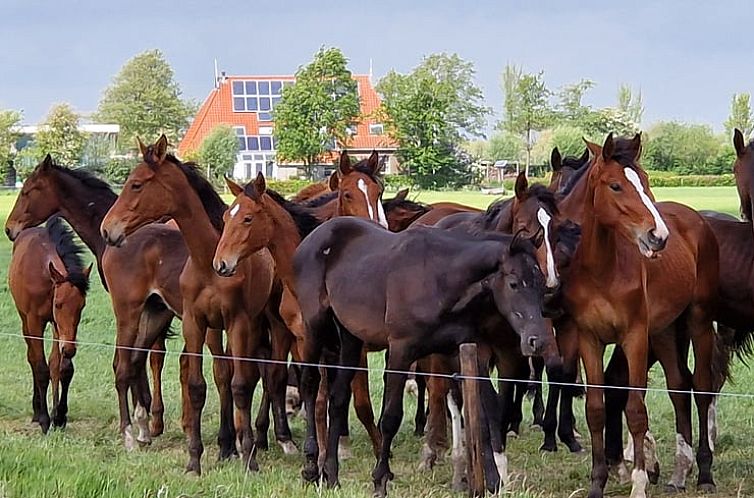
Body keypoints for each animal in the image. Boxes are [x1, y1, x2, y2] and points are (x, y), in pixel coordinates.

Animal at [9, 216, 90, 434]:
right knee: (32, 358)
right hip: (25, 322)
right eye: (58, 304)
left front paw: (59, 416)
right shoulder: (35, 322)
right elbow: (41, 368)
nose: (70, 349)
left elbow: (60, 367)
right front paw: (46, 419)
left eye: (82, 305)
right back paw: (37, 411)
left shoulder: (58, 326)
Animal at [98, 135, 278, 474]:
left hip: (156, 316)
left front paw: (247, 456)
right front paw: (195, 460)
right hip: (129, 313)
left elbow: (238, 384)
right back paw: (130, 435)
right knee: (123, 366)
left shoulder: (237, 322)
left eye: (137, 184)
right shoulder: (196, 322)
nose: (107, 228)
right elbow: (196, 385)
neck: (208, 262)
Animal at [292, 216, 560, 496]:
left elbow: (483, 415)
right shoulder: (401, 351)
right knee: (310, 384)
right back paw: (311, 465)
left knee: (338, 399)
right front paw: (380, 479)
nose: (537, 341)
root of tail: (315, 236)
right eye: (514, 283)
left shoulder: (463, 350)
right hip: (314, 328)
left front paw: (493, 480)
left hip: (351, 337)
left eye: (541, 286)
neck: (439, 278)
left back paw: (331, 475)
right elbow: (391, 417)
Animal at [552, 133, 716, 498]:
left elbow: (636, 409)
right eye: (615, 185)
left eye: (646, 180)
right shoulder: (589, 339)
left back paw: (704, 472)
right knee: (678, 386)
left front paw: (639, 482)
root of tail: (695, 219)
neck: (601, 270)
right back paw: (679, 472)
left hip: (696, 321)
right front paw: (597, 482)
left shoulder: (634, 337)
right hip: (665, 331)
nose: (658, 237)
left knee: (701, 388)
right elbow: (596, 409)